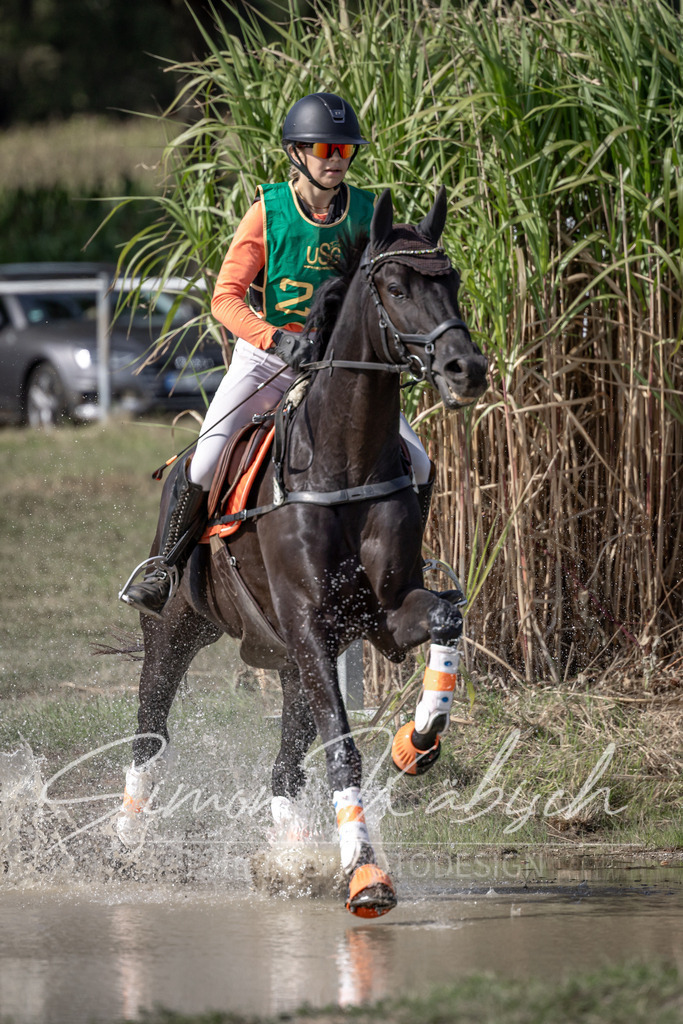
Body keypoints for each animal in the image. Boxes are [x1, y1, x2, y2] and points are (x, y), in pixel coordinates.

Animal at [116, 187, 488, 918]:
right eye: (396, 285)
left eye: (453, 279)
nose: (466, 368)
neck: (344, 460)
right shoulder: (310, 623)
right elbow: (341, 750)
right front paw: (367, 877)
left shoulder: (374, 616)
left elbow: (443, 618)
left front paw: (415, 744)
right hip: (175, 628)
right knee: (150, 733)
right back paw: (125, 846)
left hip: (286, 657)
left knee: (285, 768)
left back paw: (292, 860)